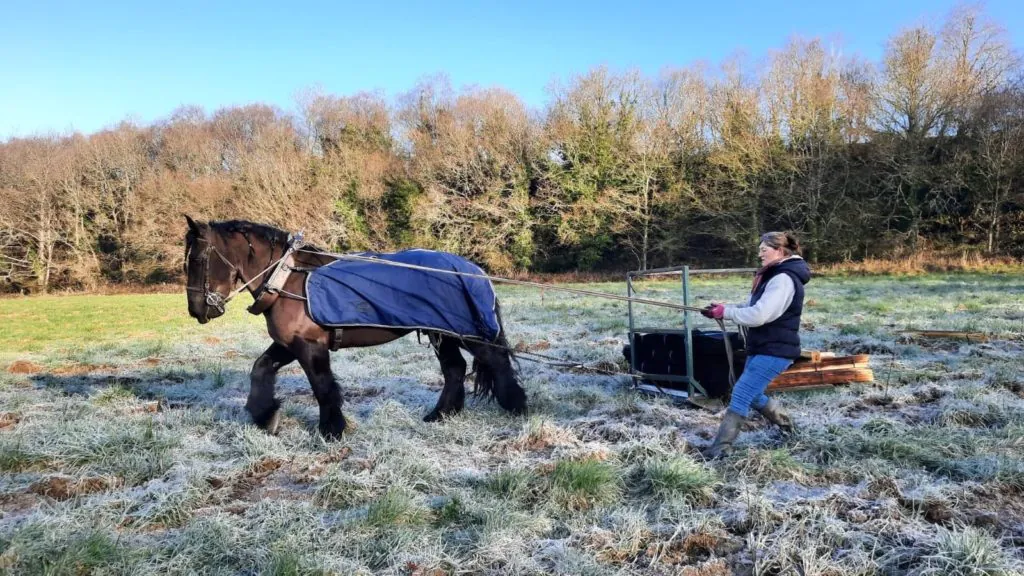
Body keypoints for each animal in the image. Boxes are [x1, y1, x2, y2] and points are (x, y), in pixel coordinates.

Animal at [182, 214, 528, 434]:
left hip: (466, 332)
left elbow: (322, 386)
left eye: (197, 260)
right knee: (454, 369)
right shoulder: (289, 344)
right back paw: (440, 414)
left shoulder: (309, 346)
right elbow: (261, 369)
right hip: (440, 333)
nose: (197, 310)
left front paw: (332, 429)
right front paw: (265, 415)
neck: (288, 279)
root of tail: (471, 268)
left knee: (495, 361)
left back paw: (517, 407)